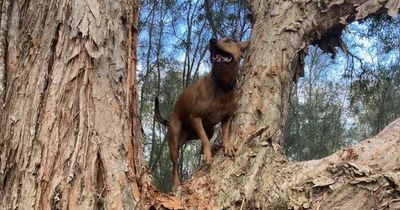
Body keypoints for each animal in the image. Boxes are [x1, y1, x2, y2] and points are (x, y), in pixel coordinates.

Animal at [155, 37, 248, 189]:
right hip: (174, 144)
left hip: (209, 130)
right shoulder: (195, 117)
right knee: (175, 166)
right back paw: (176, 184)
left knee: (202, 142)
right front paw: (208, 155)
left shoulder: (227, 118)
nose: (212, 40)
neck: (222, 85)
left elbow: (225, 133)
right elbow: (204, 139)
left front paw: (227, 145)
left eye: (229, 40)